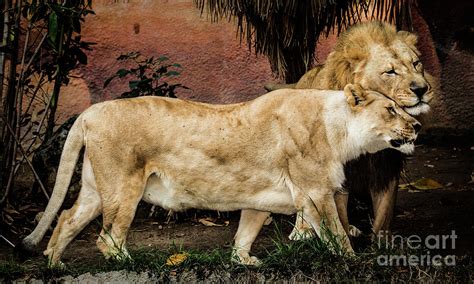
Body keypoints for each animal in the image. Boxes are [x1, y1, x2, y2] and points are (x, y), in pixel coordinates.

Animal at [21, 84, 418, 266]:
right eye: (391, 110)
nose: (415, 126)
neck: (340, 131)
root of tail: (89, 112)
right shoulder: (317, 191)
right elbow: (336, 231)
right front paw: (352, 261)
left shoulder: (262, 198)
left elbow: (246, 232)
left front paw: (243, 261)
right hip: (123, 188)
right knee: (106, 237)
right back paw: (126, 261)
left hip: (96, 187)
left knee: (67, 218)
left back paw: (54, 264)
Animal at [270, 21, 436, 241]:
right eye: (390, 72)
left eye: (416, 64)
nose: (421, 89)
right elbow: (338, 215)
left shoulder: (387, 166)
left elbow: (384, 213)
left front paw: (382, 244)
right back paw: (302, 231)